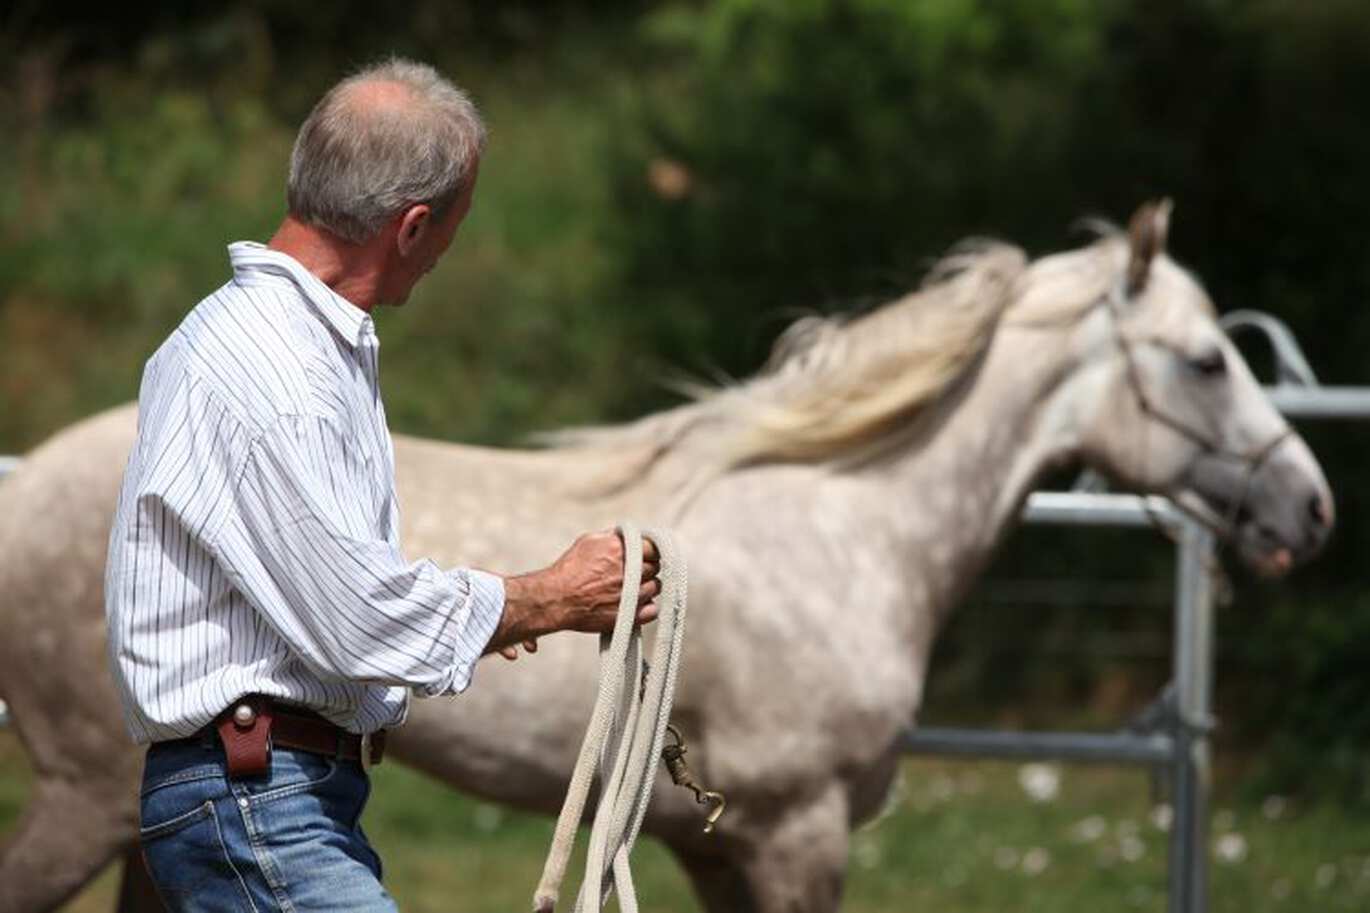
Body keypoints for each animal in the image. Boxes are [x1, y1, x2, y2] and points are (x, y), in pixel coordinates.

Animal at [0, 202, 1334, 912]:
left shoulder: (715, 845)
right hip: (79, 800)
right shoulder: (797, 838)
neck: (849, 531)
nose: (1308, 508)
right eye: (1204, 360)